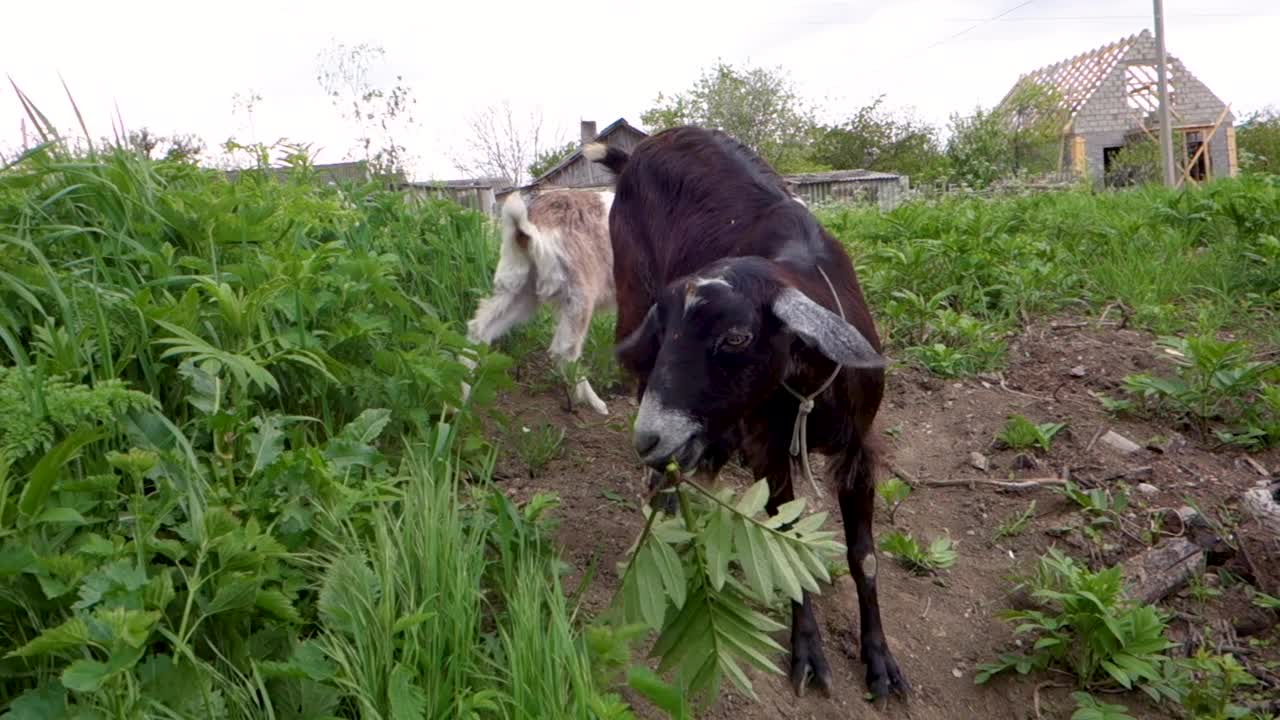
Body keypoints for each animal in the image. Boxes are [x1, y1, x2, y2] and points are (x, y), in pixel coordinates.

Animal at [588, 126, 911, 696]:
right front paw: (808, 652)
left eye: (736, 337)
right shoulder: (769, 448)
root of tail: (637, 151)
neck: (807, 395)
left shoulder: (858, 446)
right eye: (665, 331)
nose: (649, 438)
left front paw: (880, 662)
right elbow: (787, 539)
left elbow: (866, 557)